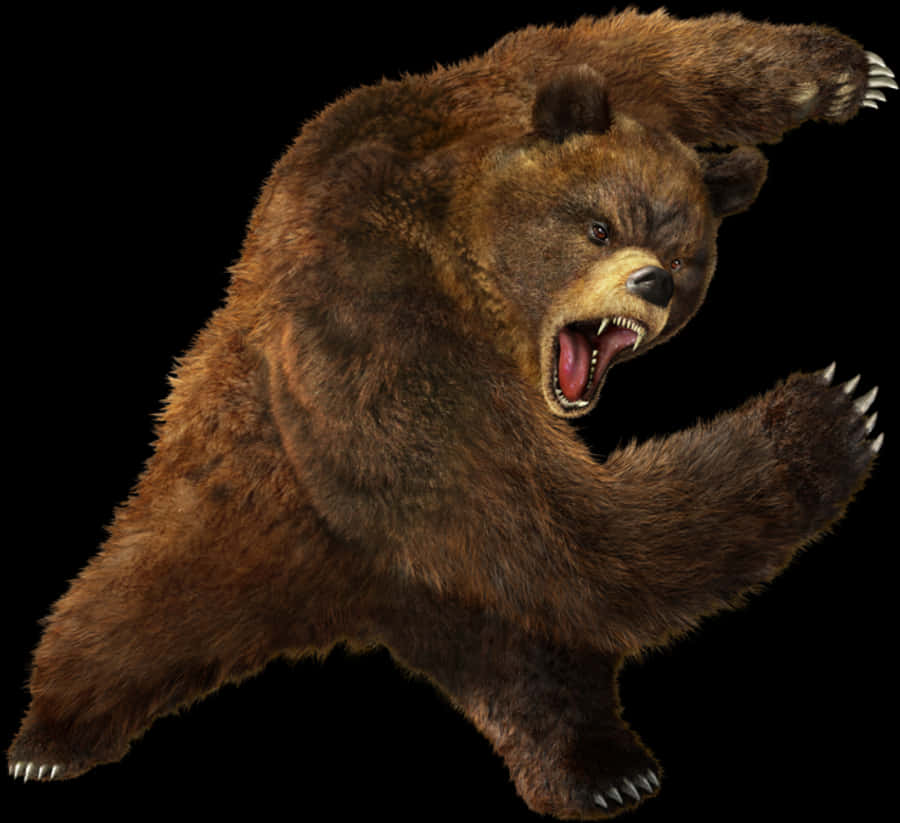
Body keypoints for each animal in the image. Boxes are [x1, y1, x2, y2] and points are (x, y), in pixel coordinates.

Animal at [7, 7, 893, 819]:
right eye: (598, 225)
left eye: (687, 255)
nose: (653, 283)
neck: (469, 251)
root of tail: (348, 606)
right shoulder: (377, 316)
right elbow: (560, 511)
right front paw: (827, 412)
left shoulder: (498, 94)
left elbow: (633, 50)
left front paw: (847, 74)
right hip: (235, 516)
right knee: (133, 605)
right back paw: (48, 735)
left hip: (438, 586)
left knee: (532, 656)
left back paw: (604, 765)